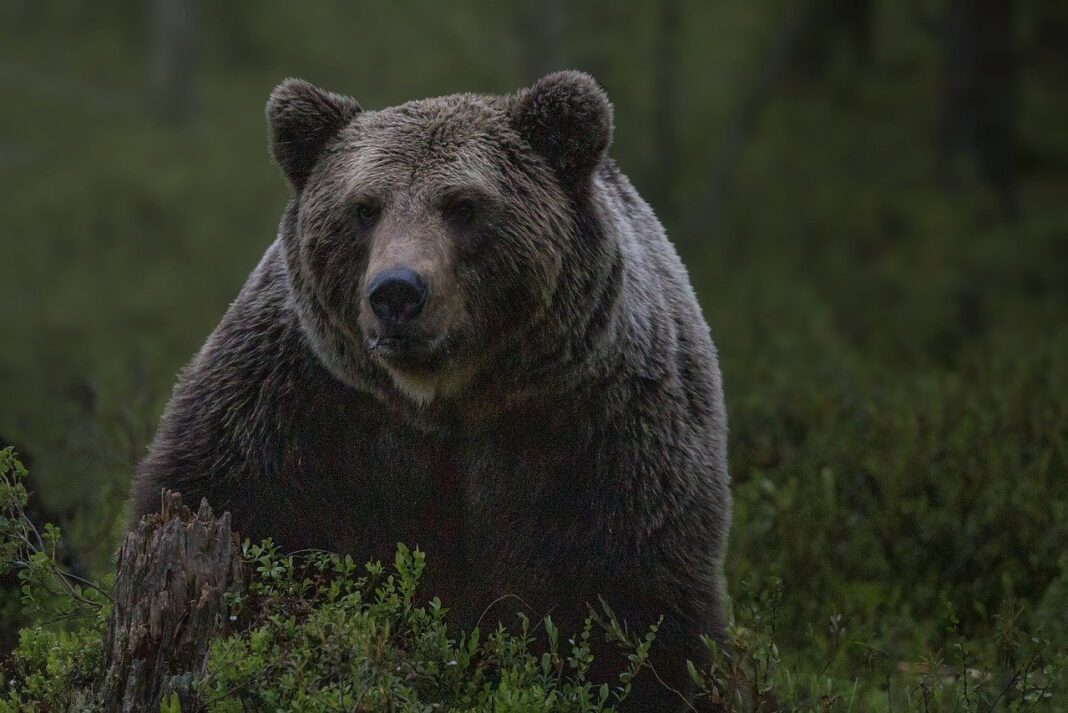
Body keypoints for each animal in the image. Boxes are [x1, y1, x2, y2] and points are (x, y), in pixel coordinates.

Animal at [129, 70, 730, 708]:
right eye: (364, 208)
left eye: (463, 206)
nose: (397, 292)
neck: (445, 401)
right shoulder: (293, 405)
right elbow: (223, 498)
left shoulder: (602, 429)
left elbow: (640, 604)